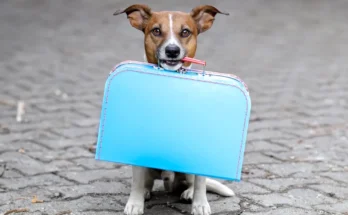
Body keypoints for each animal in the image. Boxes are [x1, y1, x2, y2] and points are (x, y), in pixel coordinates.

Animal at [113, 3, 234, 215]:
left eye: (185, 32)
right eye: (156, 31)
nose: (171, 50)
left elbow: (201, 183)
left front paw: (200, 204)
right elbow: (136, 181)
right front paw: (134, 203)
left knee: (191, 182)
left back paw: (189, 193)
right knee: (146, 181)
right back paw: (146, 192)